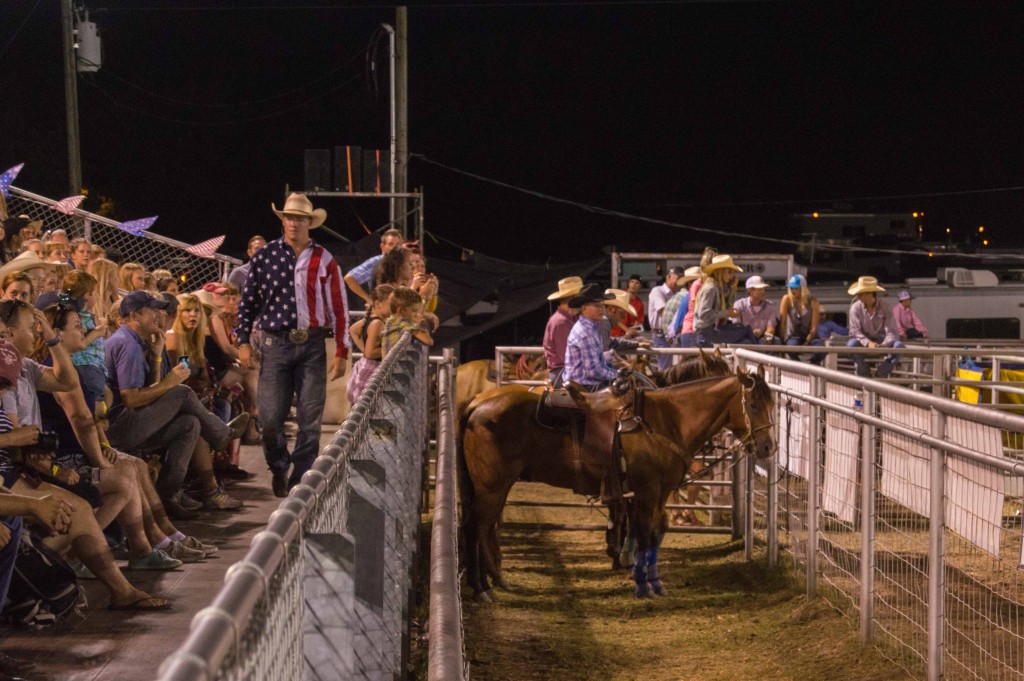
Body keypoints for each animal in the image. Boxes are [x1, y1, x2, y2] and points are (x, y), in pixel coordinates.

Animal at [460, 366, 770, 593]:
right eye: (754, 404)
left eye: (772, 402)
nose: (768, 448)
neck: (667, 420)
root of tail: (477, 404)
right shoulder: (645, 490)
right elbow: (642, 530)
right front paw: (639, 580)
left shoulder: (660, 491)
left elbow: (657, 529)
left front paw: (653, 580)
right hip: (491, 485)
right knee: (477, 526)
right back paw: (482, 587)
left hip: (497, 486)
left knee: (486, 526)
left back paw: (494, 580)